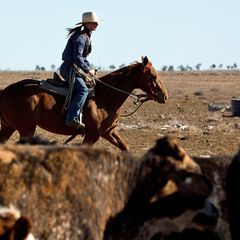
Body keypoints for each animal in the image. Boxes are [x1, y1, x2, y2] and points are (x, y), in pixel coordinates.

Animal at [0, 56, 168, 150]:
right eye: (153, 76)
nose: (164, 96)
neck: (105, 97)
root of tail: (5, 91)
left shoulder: (108, 132)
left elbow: (125, 147)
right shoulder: (92, 135)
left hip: (9, 127)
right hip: (26, 130)